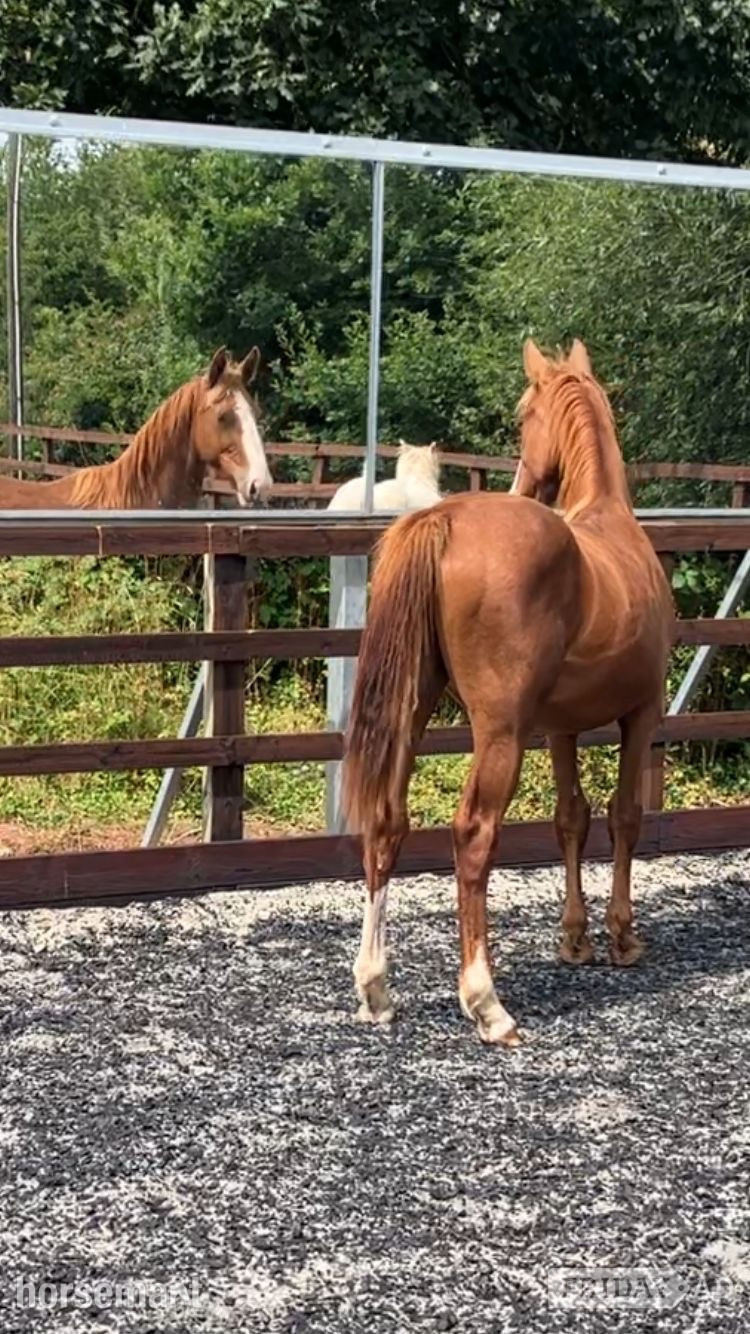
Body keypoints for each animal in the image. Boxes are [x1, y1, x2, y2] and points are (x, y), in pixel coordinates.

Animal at [343, 338, 674, 1047]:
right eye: (526, 413)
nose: (526, 482)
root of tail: (442, 518)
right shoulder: (641, 714)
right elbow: (624, 816)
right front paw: (621, 937)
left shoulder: (561, 727)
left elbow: (571, 818)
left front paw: (574, 939)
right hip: (499, 734)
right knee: (473, 835)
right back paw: (487, 1002)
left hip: (412, 714)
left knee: (386, 822)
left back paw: (376, 989)